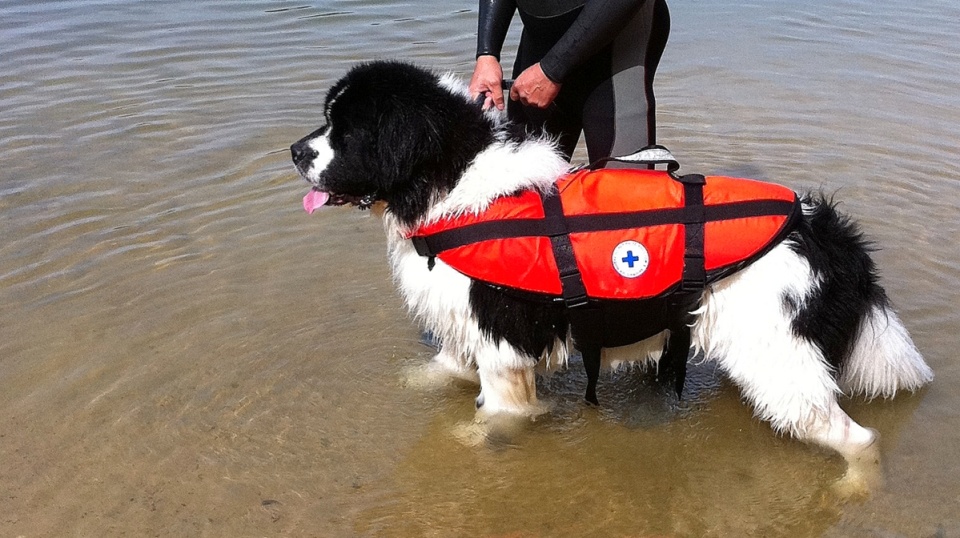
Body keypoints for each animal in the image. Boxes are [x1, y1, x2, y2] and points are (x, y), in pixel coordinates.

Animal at [288, 60, 932, 466]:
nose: (295, 151)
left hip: (780, 359)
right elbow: (449, 360)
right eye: (328, 118)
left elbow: (501, 409)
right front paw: (420, 380)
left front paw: (472, 440)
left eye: (349, 131)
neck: (447, 181)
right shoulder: (466, 316)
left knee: (856, 437)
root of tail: (822, 230)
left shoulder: (503, 337)